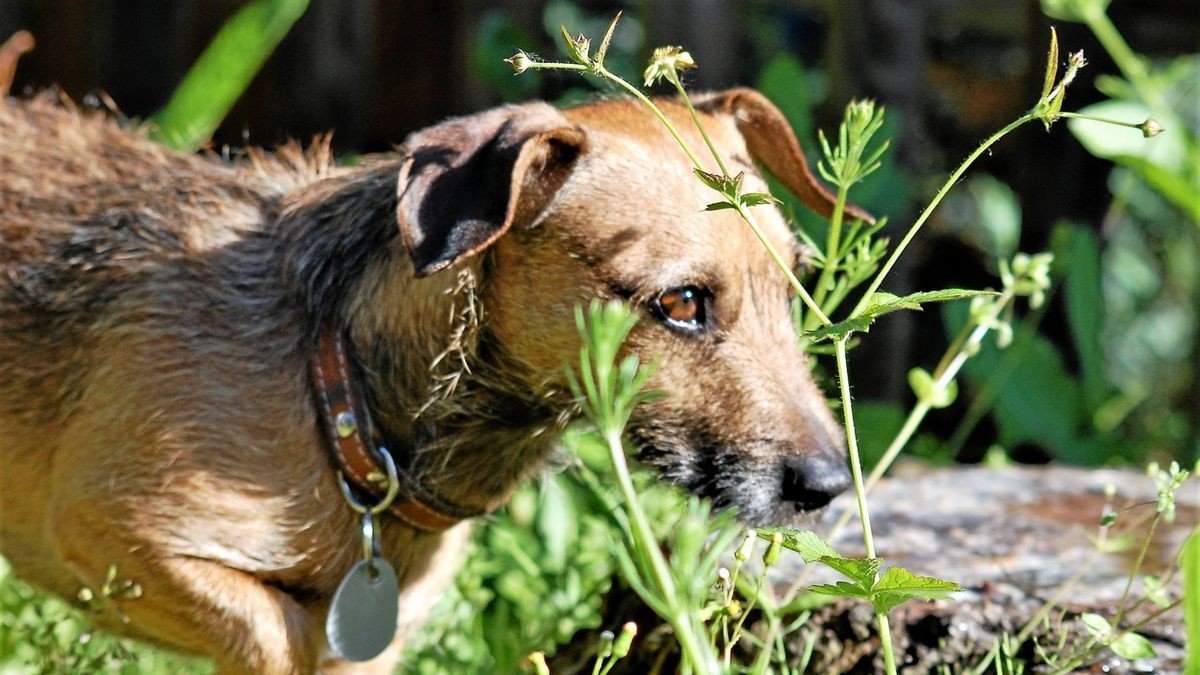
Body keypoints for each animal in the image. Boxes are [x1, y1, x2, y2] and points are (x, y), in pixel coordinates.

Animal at [4, 88, 859, 667]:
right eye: (680, 303)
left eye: (792, 286)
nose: (828, 485)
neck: (335, 383)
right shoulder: (105, 527)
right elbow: (276, 630)